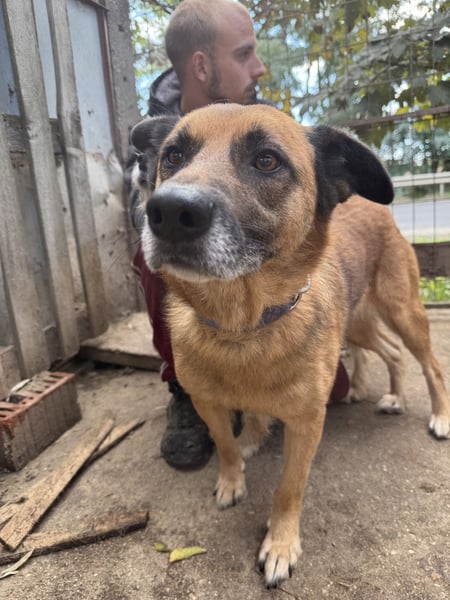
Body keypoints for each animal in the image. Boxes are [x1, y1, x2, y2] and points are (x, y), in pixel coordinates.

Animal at [130, 104, 450, 588]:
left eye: (267, 160)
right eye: (173, 155)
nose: (167, 210)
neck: (242, 326)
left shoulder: (307, 422)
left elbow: (289, 488)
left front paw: (280, 545)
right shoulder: (207, 401)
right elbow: (226, 443)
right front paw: (236, 470)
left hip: (403, 310)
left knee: (430, 364)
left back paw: (439, 416)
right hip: (357, 323)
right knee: (391, 352)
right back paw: (391, 395)